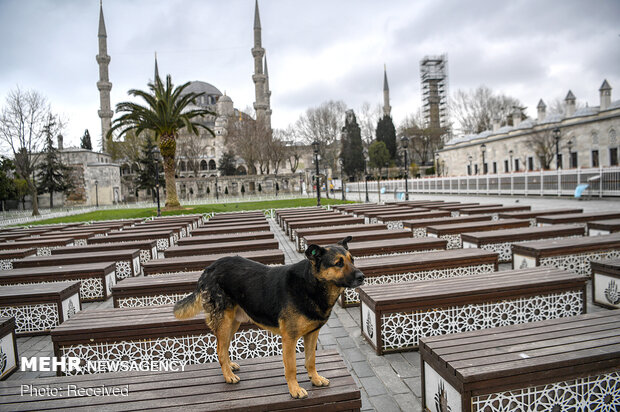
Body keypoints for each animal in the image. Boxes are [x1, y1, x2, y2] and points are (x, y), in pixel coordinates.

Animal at [173, 237, 364, 398]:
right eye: (338, 263)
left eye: (352, 260)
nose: (362, 277)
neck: (311, 284)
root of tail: (209, 268)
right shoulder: (289, 339)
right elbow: (291, 368)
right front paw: (294, 390)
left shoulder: (312, 334)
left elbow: (310, 360)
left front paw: (315, 379)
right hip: (225, 322)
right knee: (220, 349)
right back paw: (228, 376)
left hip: (233, 323)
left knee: (223, 346)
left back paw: (230, 366)